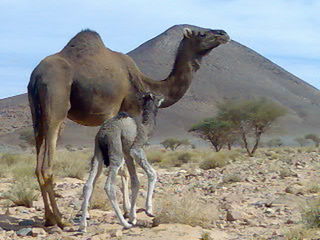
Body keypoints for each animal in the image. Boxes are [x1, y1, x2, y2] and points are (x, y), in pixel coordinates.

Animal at [26, 27, 229, 228]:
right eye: (202, 33)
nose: (224, 34)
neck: (142, 82)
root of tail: (36, 77)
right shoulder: (125, 110)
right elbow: (124, 169)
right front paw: (129, 212)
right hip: (56, 108)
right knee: (47, 166)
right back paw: (60, 220)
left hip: (37, 116)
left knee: (37, 166)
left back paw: (48, 218)